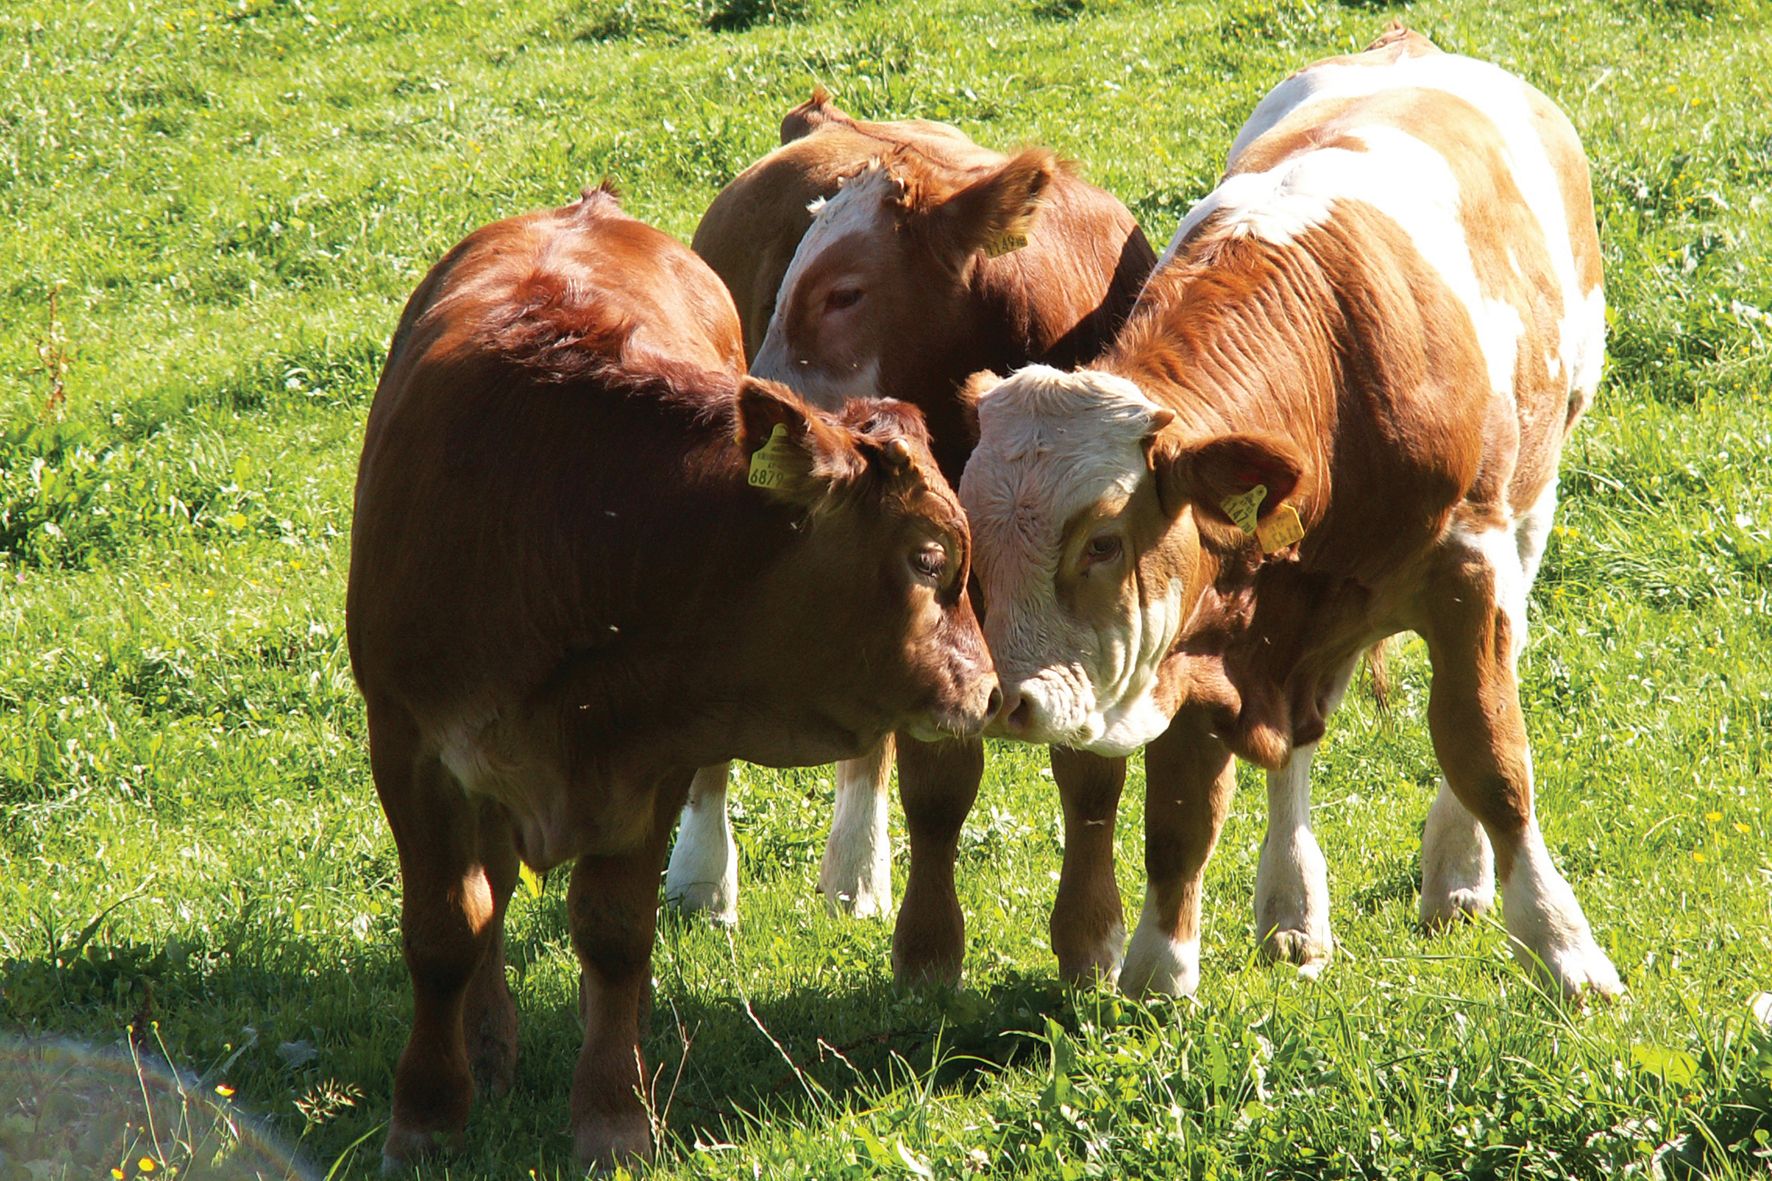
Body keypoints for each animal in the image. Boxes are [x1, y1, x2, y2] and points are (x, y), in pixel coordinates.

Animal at [346, 185, 999, 1170]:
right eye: (929, 559)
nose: (988, 690)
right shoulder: (410, 745)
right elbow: (446, 928)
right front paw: (426, 1113)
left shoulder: (649, 753)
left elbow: (616, 932)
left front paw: (614, 1114)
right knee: (487, 884)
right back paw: (490, 1041)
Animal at [672, 91, 1156, 987]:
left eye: (845, 293)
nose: (756, 407)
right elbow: (940, 775)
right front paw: (929, 950)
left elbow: (1091, 770)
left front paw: (1090, 942)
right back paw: (703, 873)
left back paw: (854, 873)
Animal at [956, 27, 1623, 1000]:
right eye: (977, 547)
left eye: (1104, 541)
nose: (1005, 699)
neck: (1335, 375)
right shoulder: (1208, 618)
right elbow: (1185, 806)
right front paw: (1161, 970)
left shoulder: (1469, 563)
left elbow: (1487, 751)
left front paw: (1566, 948)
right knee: (1299, 740)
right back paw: (1293, 911)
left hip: (1534, 498)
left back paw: (1456, 874)